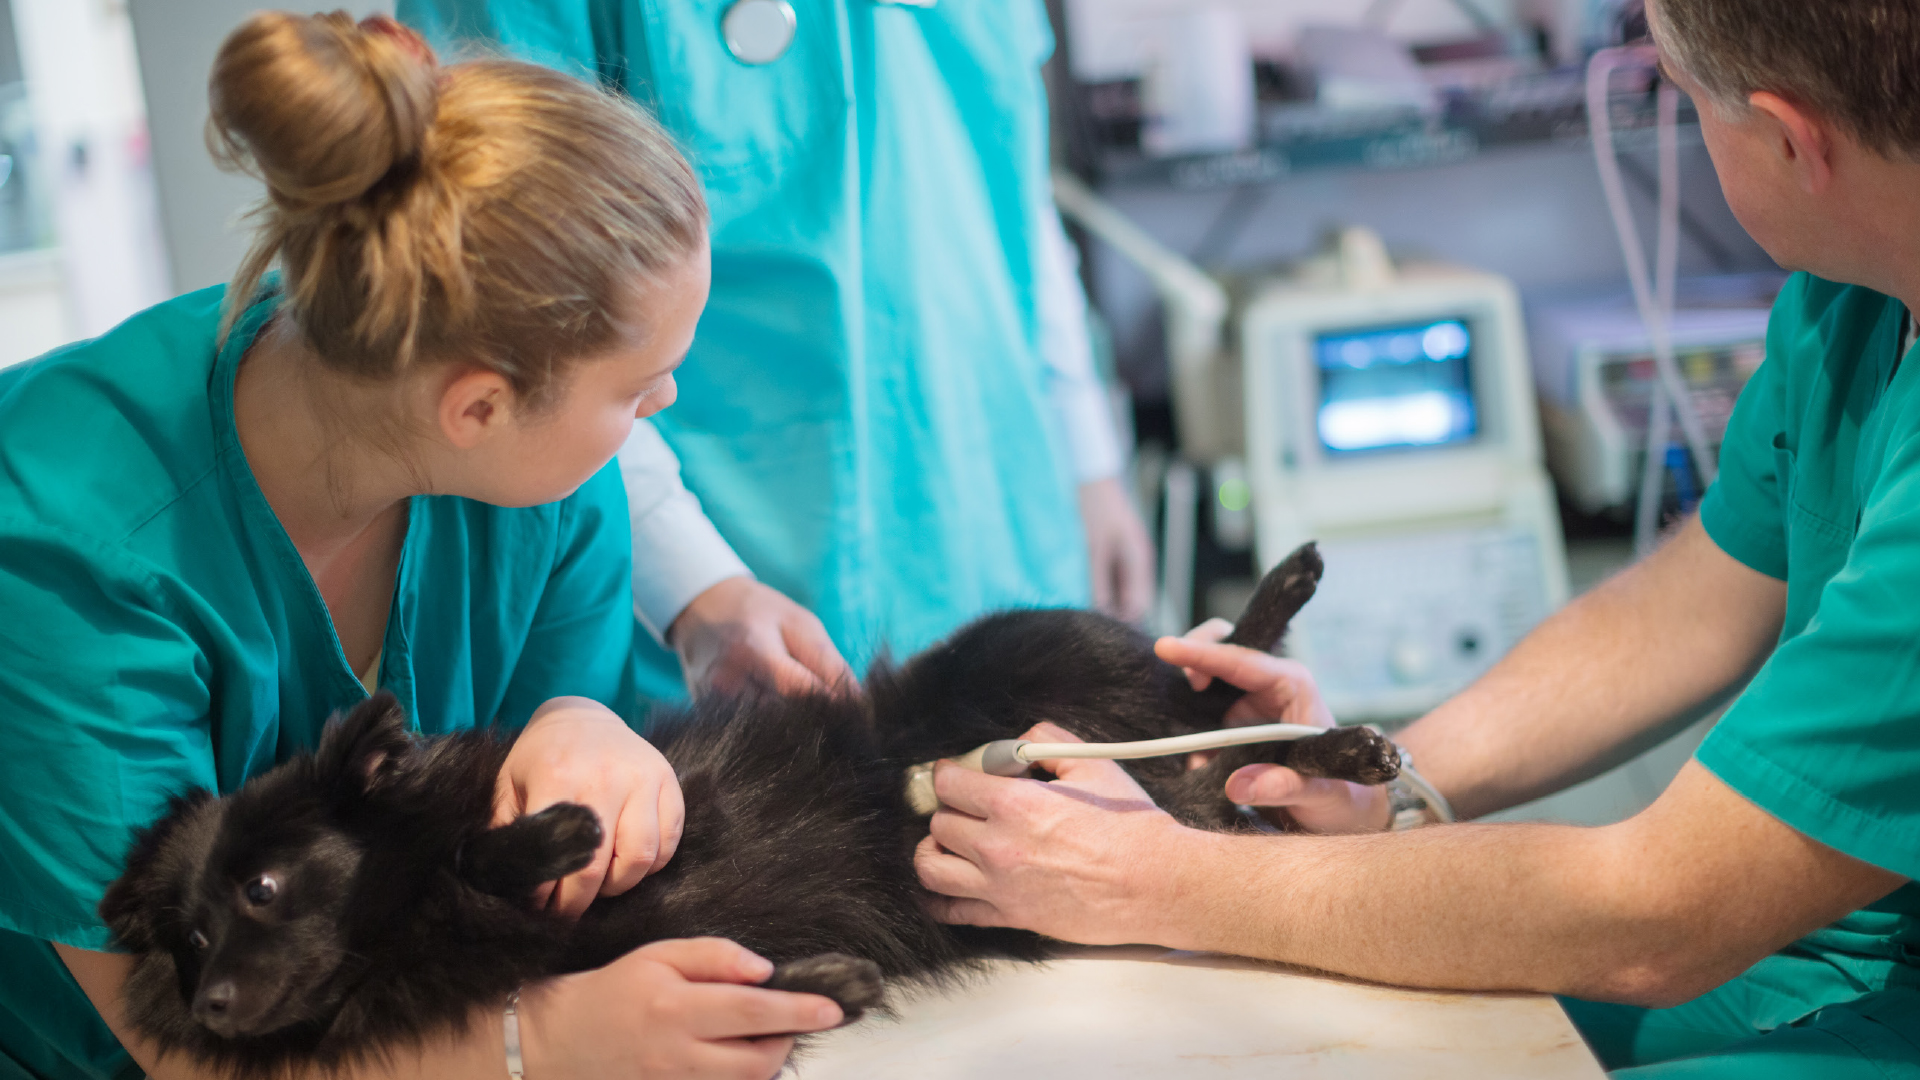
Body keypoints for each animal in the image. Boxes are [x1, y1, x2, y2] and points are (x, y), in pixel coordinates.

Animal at [101, 541, 1397, 1068]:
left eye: (267, 888)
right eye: (190, 941)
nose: (210, 1008)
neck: (415, 937)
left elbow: (490, 847)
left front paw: (555, 831)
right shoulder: (616, 953)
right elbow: (753, 974)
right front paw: (831, 987)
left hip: (1047, 650)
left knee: (1209, 684)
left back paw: (1321, 672)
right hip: (1144, 819)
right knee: (1220, 771)